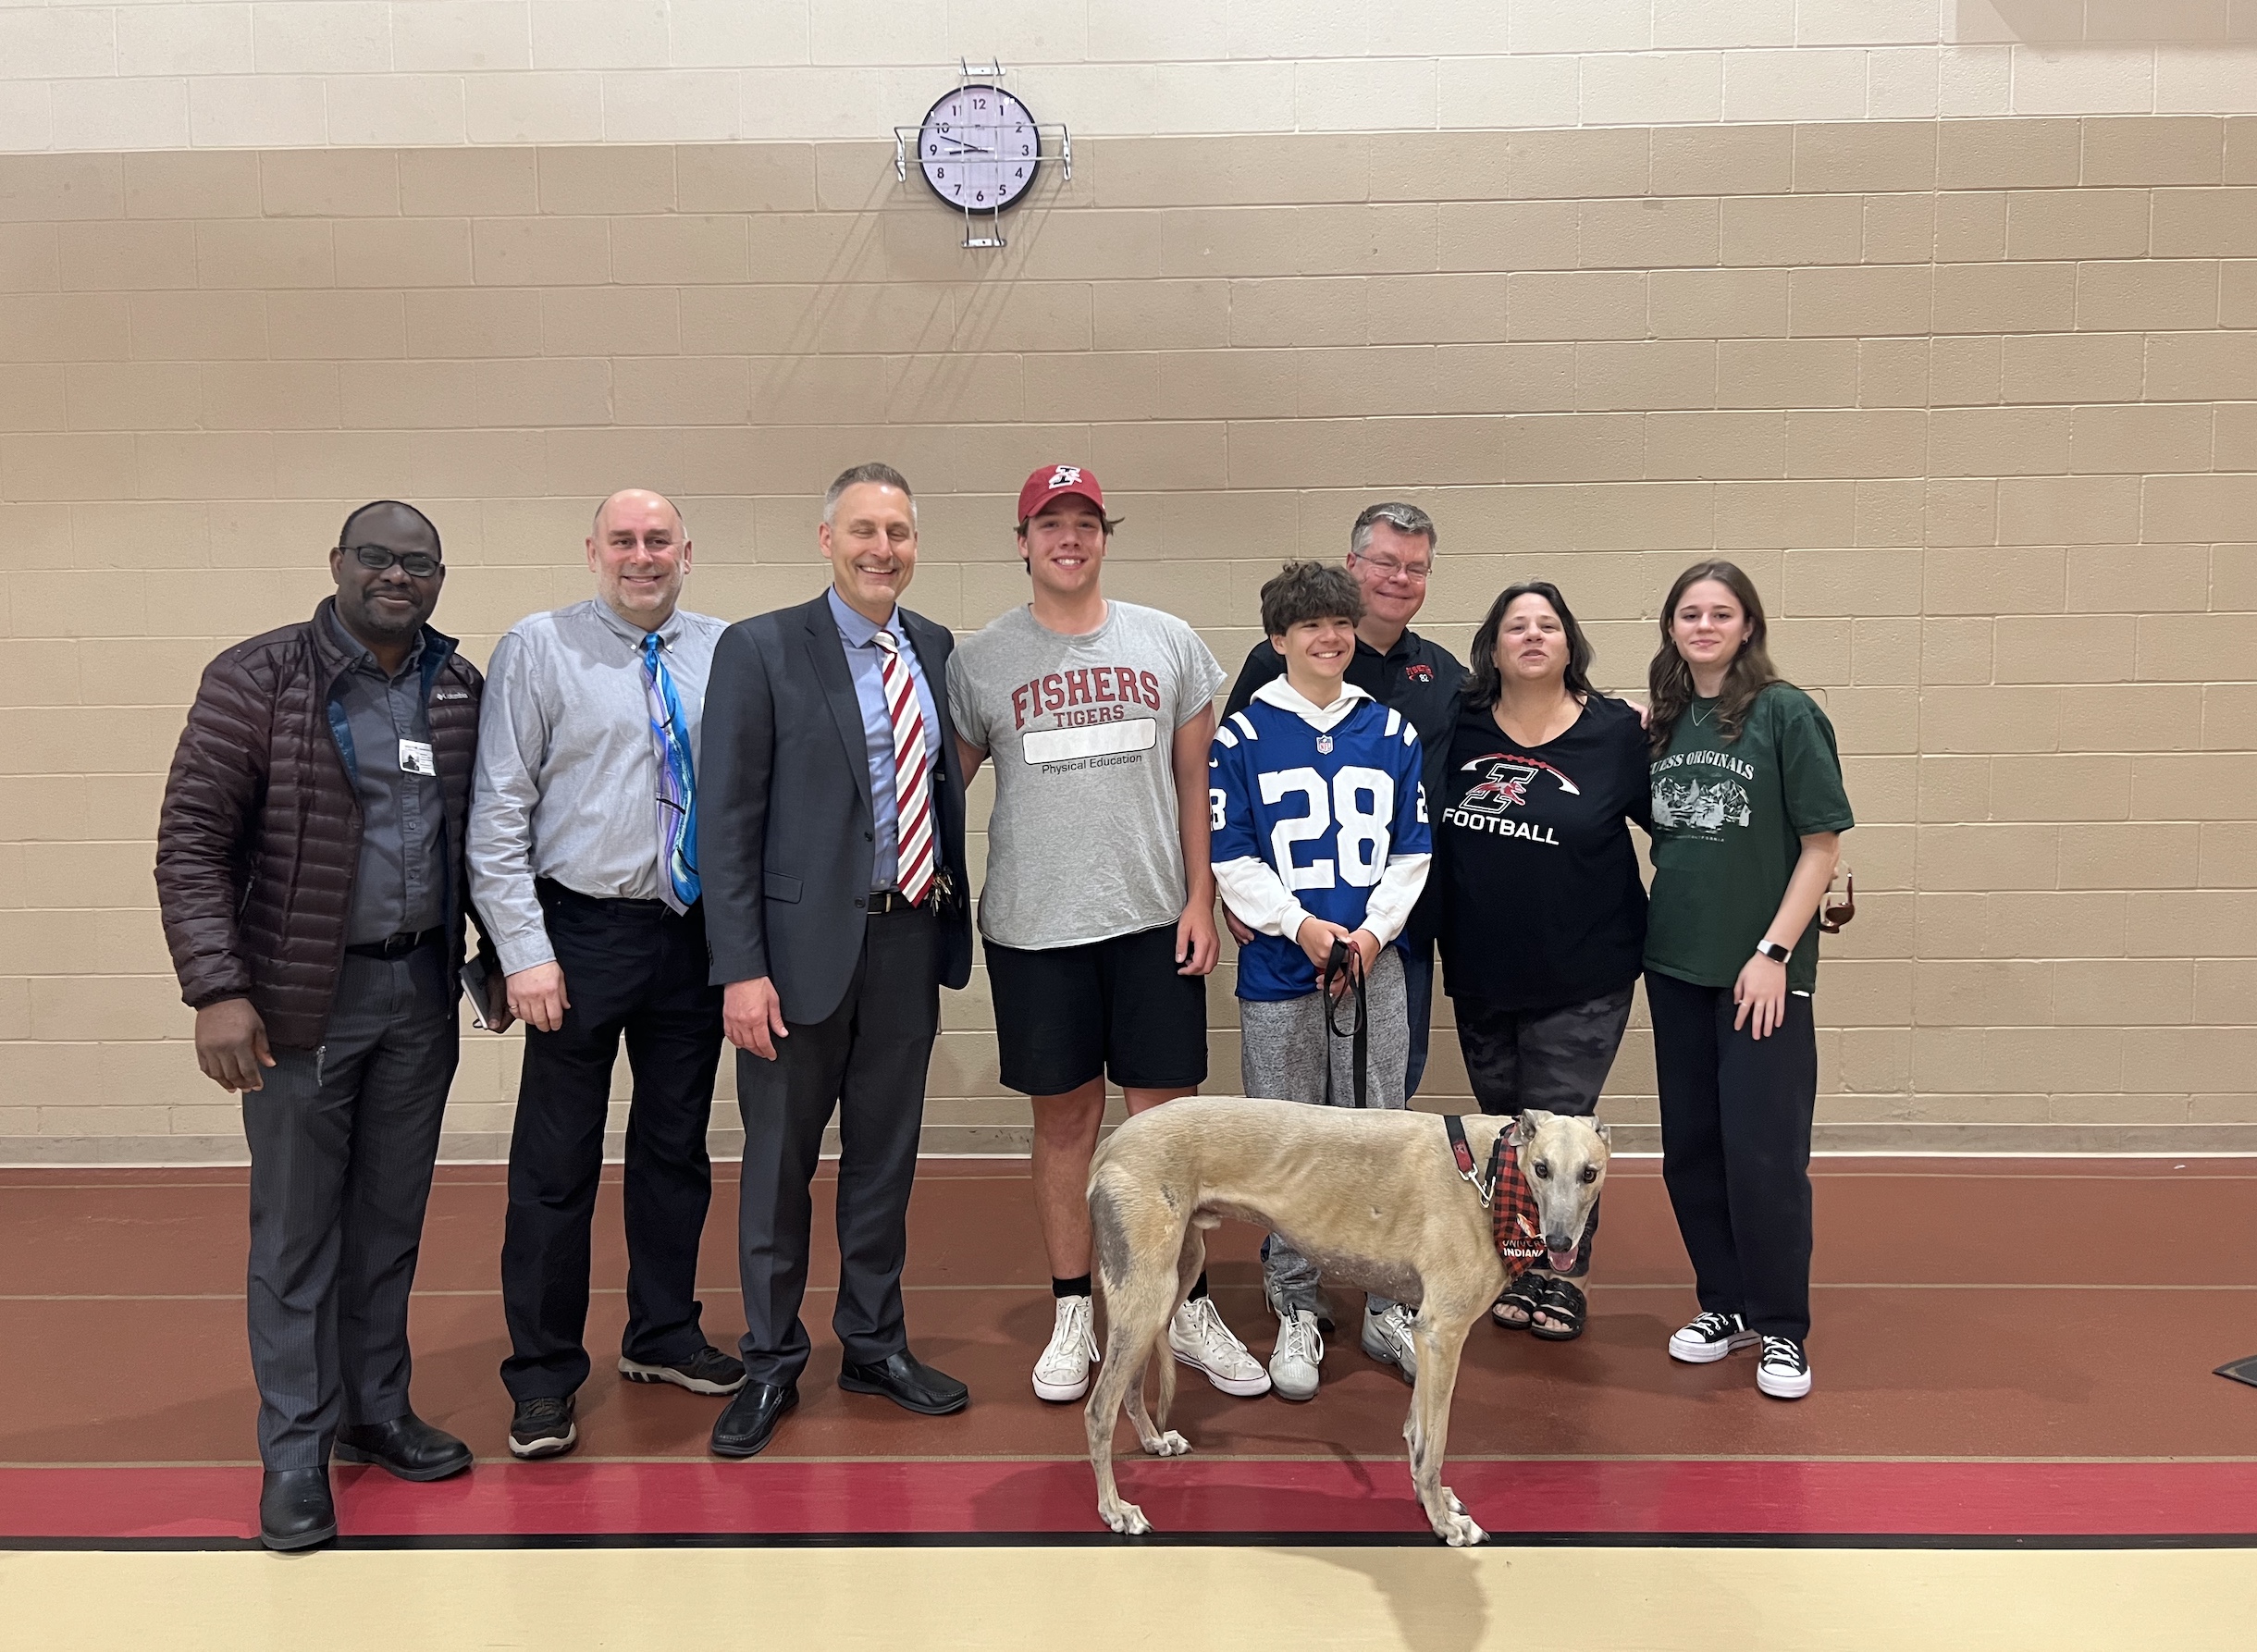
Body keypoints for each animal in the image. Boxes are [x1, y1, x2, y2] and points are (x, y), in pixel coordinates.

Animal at [1088, 1096, 1607, 1552]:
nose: (1561, 1245)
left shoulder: (1427, 1336)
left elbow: (1417, 1430)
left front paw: (1430, 1500)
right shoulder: (1445, 1332)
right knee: (1097, 1410)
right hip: (1148, 1296)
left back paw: (1154, 1441)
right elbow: (1435, 1443)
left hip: (1173, 1279)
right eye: (1541, 1169)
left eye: (1590, 1173)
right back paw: (1115, 1510)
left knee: (1129, 1387)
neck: (1493, 1174)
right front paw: (1444, 1522)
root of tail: (1110, 1143)